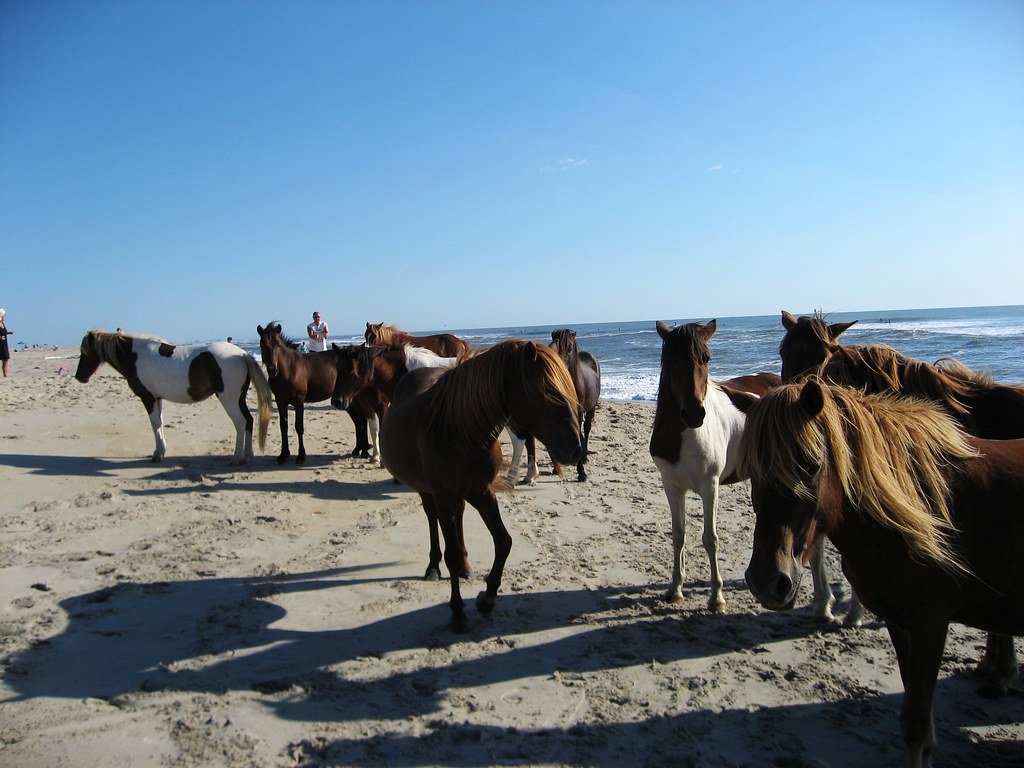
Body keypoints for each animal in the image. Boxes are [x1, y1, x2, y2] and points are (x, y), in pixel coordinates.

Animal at [75, 329, 270, 466]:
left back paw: (236, 458)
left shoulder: (148, 398)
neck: (136, 356)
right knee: (249, 420)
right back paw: (247, 456)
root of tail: (242, 354)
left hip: (229, 399)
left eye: (85, 351)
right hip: (239, 399)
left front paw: (157, 454)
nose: (79, 377)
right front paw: (161, 451)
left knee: (240, 423)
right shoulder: (157, 398)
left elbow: (155, 423)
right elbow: (159, 423)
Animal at [256, 323, 380, 462]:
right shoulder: (280, 401)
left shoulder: (299, 402)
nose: (273, 370)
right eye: (262, 344)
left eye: (277, 344)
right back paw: (357, 449)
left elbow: (299, 427)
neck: (289, 369)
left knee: (362, 421)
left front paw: (301, 455)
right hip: (347, 402)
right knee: (358, 422)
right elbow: (283, 426)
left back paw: (364, 451)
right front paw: (283, 455)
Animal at [378, 339, 585, 634]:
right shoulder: (445, 496)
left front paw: (487, 599)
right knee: (432, 519)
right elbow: (451, 553)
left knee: (459, 517)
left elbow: (503, 541)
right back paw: (433, 567)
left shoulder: (482, 492)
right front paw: (457, 613)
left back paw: (466, 567)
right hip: (428, 491)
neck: (460, 428)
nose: (576, 451)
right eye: (548, 391)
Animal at [651, 321, 778, 618]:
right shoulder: (671, 486)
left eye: (706, 358)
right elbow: (679, 535)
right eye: (671, 360)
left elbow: (710, 539)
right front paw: (675, 589)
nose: (695, 414)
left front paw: (716, 598)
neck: (681, 437)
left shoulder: (710, 486)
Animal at [737, 382, 1024, 768]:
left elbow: (916, 721)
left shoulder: (929, 623)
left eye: (810, 465)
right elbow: (917, 718)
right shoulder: (900, 623)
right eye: (753, 471)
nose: (767, 582)